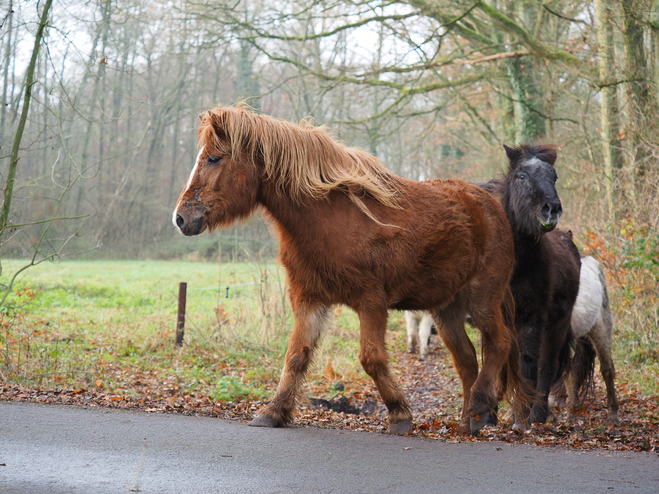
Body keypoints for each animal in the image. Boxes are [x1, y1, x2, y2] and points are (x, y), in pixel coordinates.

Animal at [173, 104, 528, 432]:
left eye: (214, 159)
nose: (180, 218)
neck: (328, 219)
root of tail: (493, 207)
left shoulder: (371, 302)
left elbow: (371, 358)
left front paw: (399, 414)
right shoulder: (309, 300)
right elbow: (296, 356)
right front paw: (274, 411)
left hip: (482, 299)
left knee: (500, 342)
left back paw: (480, 408)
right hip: (447, 309)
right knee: (467, 359)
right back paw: (471, 418)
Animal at [480, 144, 584, 424]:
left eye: (554, 177)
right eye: (522, 176)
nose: (551, 209)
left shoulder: (531, 318)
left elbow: (528, 365)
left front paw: (522, 417)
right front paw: (488, 416)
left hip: (556, 325)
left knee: (546, 367)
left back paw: (537, 414)